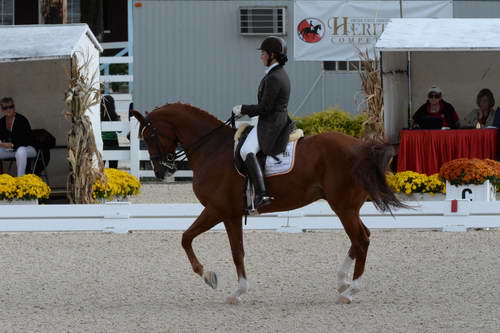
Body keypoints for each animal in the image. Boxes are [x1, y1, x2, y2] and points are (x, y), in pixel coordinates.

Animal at [130, 103, 406, 304]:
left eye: (150, 134)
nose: (161, 172)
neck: (212, 149)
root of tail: (360, 147)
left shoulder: (218, 210)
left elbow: (189, 238)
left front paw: (212, 278)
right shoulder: (230, 214)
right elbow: (235, 251)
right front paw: (236, 290)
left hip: (344, 208)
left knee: (361, 240)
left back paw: (350, 291)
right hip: (347, 207)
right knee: (361, 238)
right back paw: (342, 282)